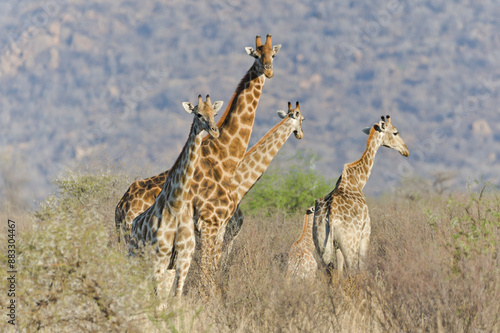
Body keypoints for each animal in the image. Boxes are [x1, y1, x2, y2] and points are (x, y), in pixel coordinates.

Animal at [129, 94, 223, 302]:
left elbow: (175, 300)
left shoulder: (182, 260)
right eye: (198, 114)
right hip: (135, 258)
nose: (215, 131)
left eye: (215, 114)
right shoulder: (159, 258)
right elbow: (158, 302)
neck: (176, 204)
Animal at [312, 114, 410, 274]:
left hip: (321, 245)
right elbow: (362, 266)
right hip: (350, 243)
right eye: (395, 132)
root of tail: (330, 216)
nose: (406, 150)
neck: (357, 180)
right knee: (352, 269)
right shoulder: (366, 233)